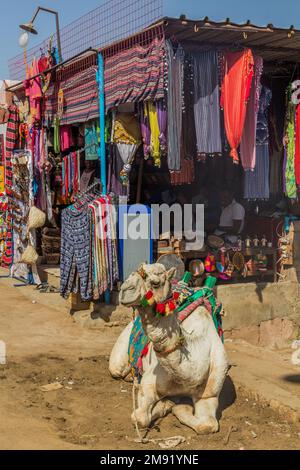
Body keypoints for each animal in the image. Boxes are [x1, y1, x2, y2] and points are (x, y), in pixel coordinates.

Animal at [109, 262, 229, 436]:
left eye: (155, 283)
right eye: (131, 274)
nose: (125, 290)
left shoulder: (209, 394)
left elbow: (207, 425)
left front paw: (173, 405)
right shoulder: (149, 383)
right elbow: (140, 417)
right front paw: (166, 405)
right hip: (118, 361)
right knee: (118, 369)